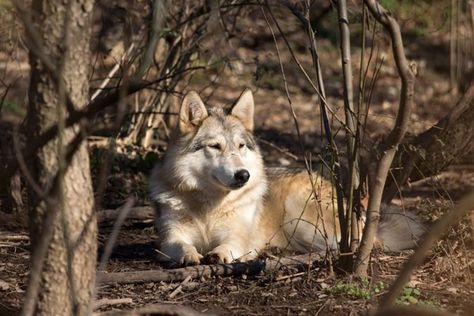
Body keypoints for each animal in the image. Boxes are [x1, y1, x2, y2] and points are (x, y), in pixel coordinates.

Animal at [148, 89, 422, 266]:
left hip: (303, 220)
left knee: (367, 241)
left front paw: (219, 253)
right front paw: (190, 255)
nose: (243, 175)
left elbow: (230, 244)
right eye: (215, 146)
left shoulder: (237, 235)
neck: (210, 205)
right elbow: (181, 245)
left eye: (240, 146)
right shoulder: (170, 237)